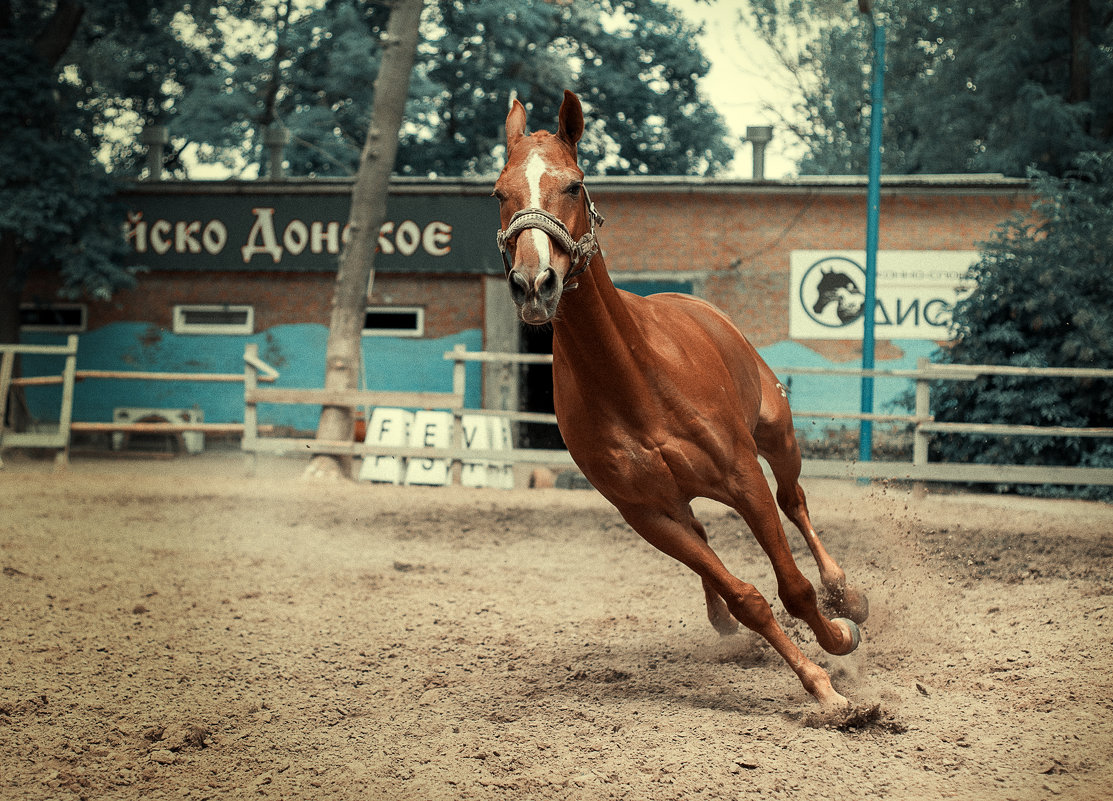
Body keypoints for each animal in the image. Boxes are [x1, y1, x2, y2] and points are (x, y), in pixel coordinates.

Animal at [496, 90, 868, 712]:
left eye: (573, 185)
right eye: (499, 193)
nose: (533, 284)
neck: (634, 381)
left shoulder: (744, 478)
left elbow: (793, 587)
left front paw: (837, 642)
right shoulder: (649, 514)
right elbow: (749, 597)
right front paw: (819, 684)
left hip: (778, 436)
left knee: (794, 501)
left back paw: (846, 594)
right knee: (710, 536)